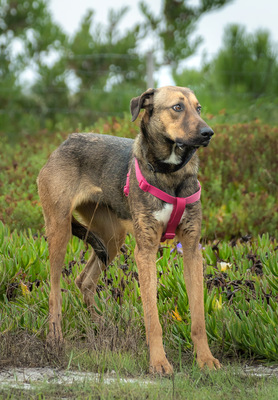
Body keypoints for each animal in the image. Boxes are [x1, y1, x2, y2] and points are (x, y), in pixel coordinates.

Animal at [37, 86, 219, 374]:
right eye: (177, 107)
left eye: (198, 108)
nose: (208, 133)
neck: (169, 173)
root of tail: (64, 142)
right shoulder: (145, 251)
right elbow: (152, 318)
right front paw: (159, 363)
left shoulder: (191, 249)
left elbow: (199, 318)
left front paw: (205, 359)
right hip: (60, 231)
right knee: (55, 290)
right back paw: (56, 338)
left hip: (112, 238)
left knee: (84, 280)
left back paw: (100, 323)